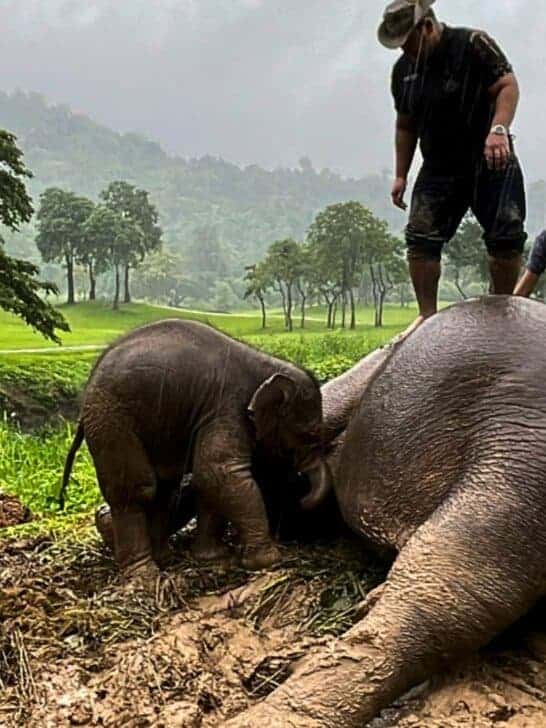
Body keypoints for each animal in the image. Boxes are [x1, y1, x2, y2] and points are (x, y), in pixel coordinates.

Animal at [62, 319, 333, 577]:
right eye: (309, 434)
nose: (299, 498)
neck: (267, 364)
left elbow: (207, 481)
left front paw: (213, 557)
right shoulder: (227, 407)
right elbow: (218, 472)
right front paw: (268, 561)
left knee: (164, 488)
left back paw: (165, 559)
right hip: (111, 419)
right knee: (138, 489)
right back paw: (144, 576)